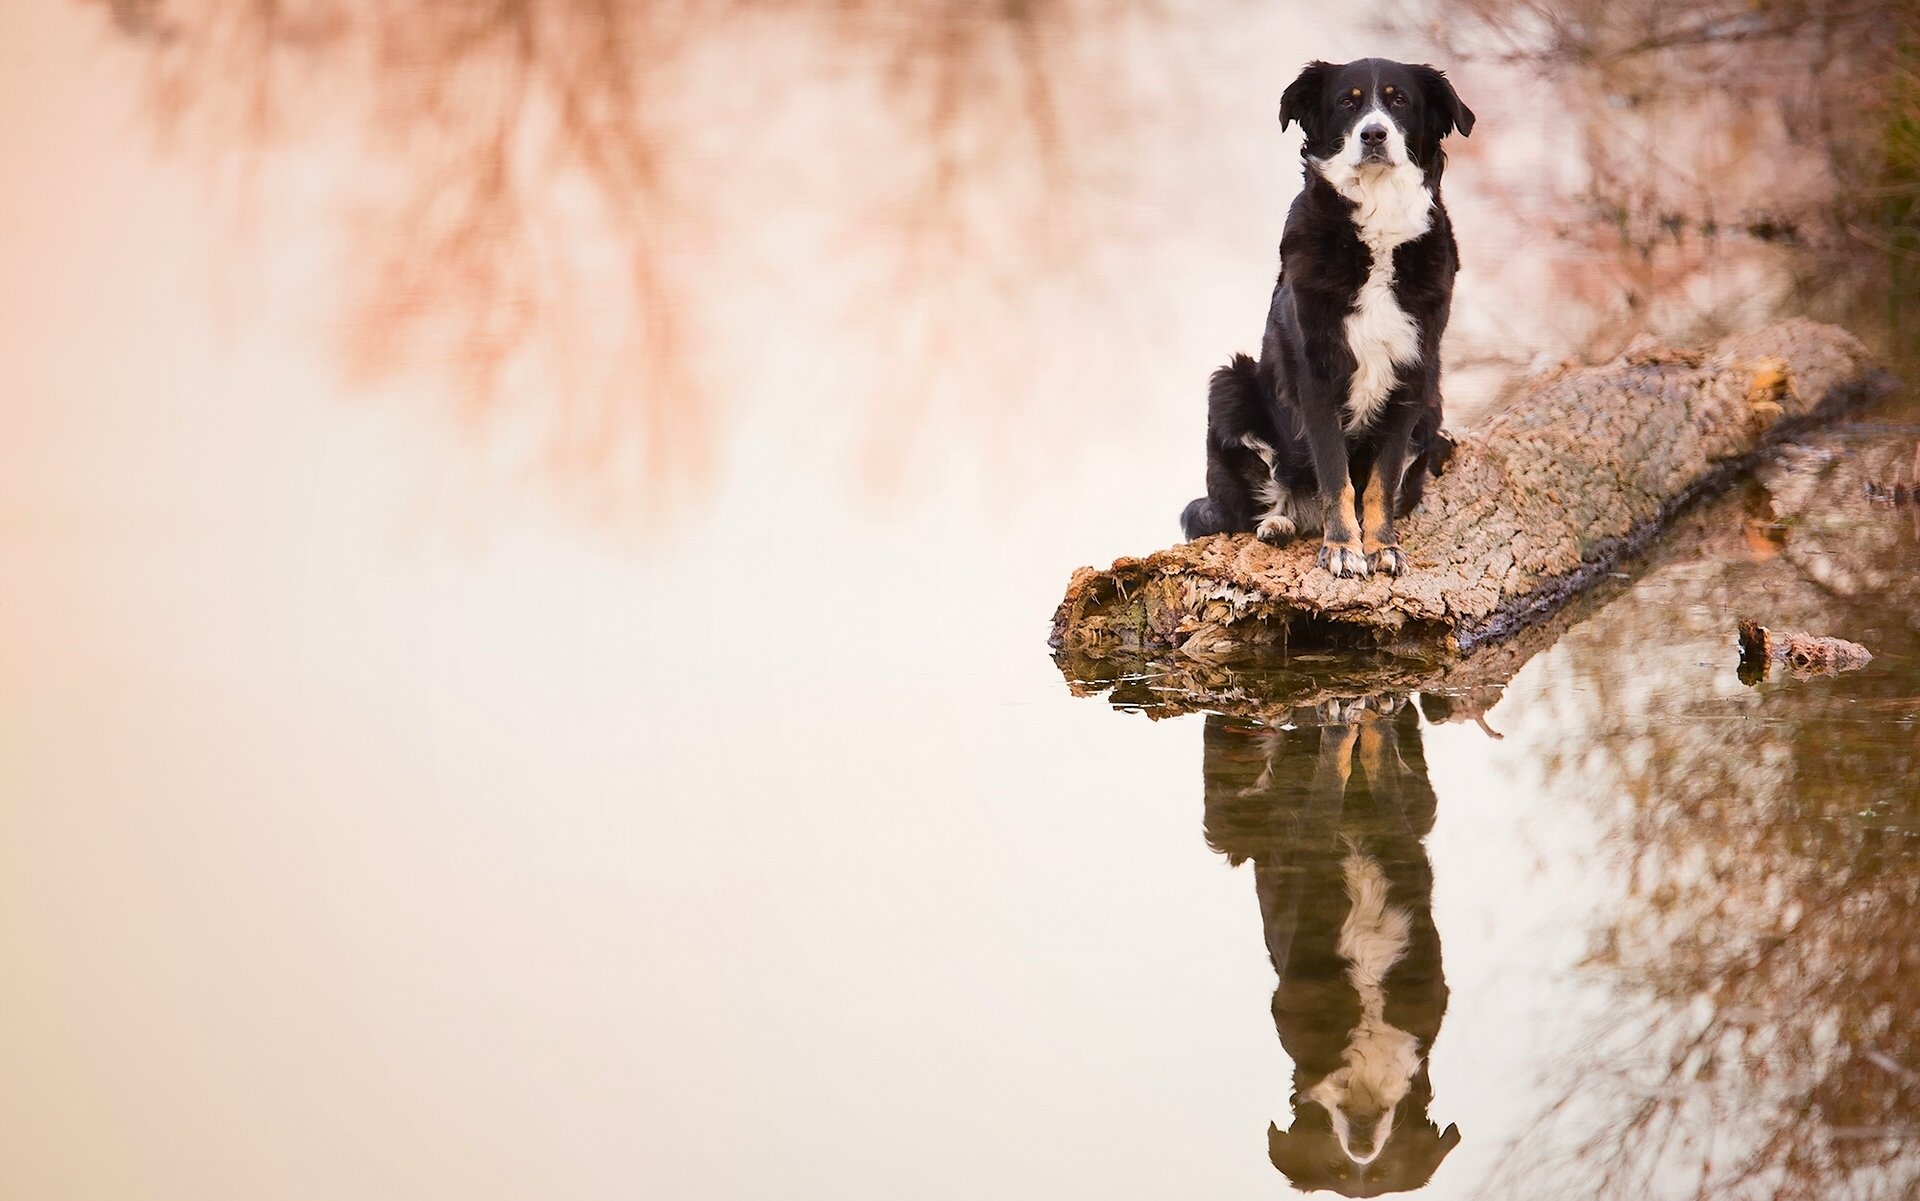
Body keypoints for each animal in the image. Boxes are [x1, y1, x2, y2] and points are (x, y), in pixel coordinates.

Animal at [1175, 59, 1474, 575]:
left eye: (1399, 100)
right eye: (1346, 103)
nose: (1373, 134)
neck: (1377, 223)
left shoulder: (1413, 375)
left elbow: (1380, 479)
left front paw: (1381, 546)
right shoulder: (1315, 374)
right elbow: (1336, 474)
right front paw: (1341, 547)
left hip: (1433, 405)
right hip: (1229, 384)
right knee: (1261, 498)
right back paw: (1278, 524)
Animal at [1205, 690, 1459, 1189]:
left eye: (1381, 1174)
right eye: (1337, 1170)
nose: (1360, 1145)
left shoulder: (1406, 856)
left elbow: (1384, 783)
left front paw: (1371, 726)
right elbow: (1325, 793)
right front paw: (1341, 732)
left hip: (1425, 802)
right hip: (1227, 823)